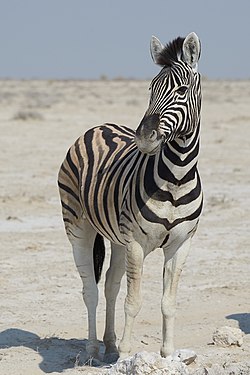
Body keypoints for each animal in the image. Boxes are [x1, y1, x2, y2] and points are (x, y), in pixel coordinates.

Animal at [58, 32, 203, 364]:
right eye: (151, 89)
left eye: (182, 90)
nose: (144, 137)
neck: (176, 177)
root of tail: (99, 126)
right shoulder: (137, 242)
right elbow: (133, 301)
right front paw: (125, 357)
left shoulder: (181, 244)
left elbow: (168, 301)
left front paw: (167, 354)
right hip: (79, 228)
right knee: (90, 289)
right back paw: (93, 349)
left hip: (117, 237)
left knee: (110, 285)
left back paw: (109, 344)